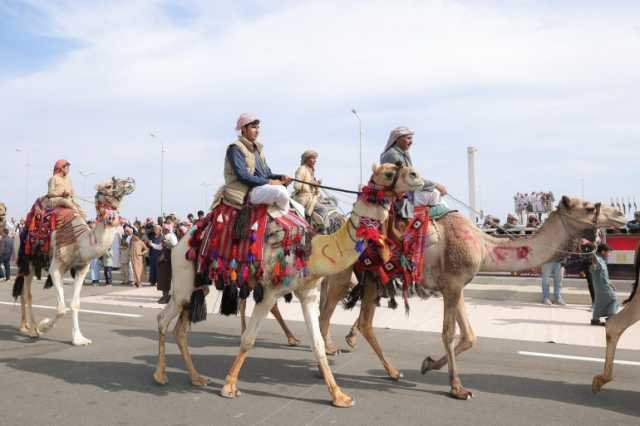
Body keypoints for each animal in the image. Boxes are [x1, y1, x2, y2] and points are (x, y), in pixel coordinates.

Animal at [13, 176, 135, 346]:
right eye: (109, 185)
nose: (131, 181)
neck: (81, 241)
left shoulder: (81, 268)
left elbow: (75, 304)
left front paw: (79, 339)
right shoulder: (56, 267)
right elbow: (61, 308)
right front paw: (43, 327)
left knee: (24, 293)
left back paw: (25, 327)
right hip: (27, 261)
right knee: (27, 294)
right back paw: (32, 330)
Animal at [153, 163, 424, 406]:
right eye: (388, 172)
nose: (416, 175)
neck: (312, 249)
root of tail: (182, 240)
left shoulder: (308, 293)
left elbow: (317, 343)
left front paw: (339, 396)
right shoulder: (270, 292)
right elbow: (248, 339)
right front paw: (229, 387)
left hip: (199, 283)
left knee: (181, 329)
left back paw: (196, 378)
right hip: (183, 278)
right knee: (164, 319)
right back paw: (161, 375)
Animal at [320, 196, 624, 400]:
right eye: (588, 207)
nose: (620, 215)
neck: (485, 246)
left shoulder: (456, 287)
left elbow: (469, 336)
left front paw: (428, 364)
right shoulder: (452, 285)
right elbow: (448, 333)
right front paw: (457, 387)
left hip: (372, 278)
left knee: (363, 322)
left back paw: (392, 371)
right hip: (344, 272)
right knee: (326, 313)